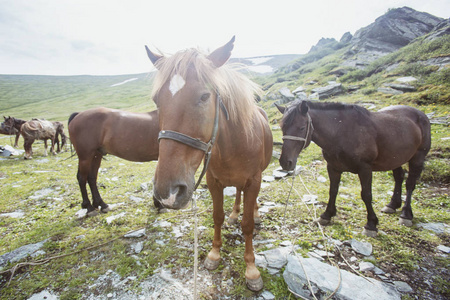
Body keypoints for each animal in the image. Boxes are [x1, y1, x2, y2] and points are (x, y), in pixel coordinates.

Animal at [149, 37, 274, 290]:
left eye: (204, 97)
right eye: (157, 100)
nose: (167, 193)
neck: (233, 145)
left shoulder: (253, 180)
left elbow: (247, 225)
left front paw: (251, 269)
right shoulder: (213, 181)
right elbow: (217, 216)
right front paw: (214, 254)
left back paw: (254, 212)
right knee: (237, 194)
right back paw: (235, 213)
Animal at [276, 101, 430, 237]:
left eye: (302, 128)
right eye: (282, 127)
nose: (286, 162)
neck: (341, 132)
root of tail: (421, 114)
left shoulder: (365, 169)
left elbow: (366, 195)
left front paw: (371, 224)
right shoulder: (333, 168)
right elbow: (333, 191)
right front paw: (327, 215)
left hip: (417, 157)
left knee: (410, 184)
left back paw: (406, 214)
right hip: (395, 159)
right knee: (399, 177)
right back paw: (392, 205)